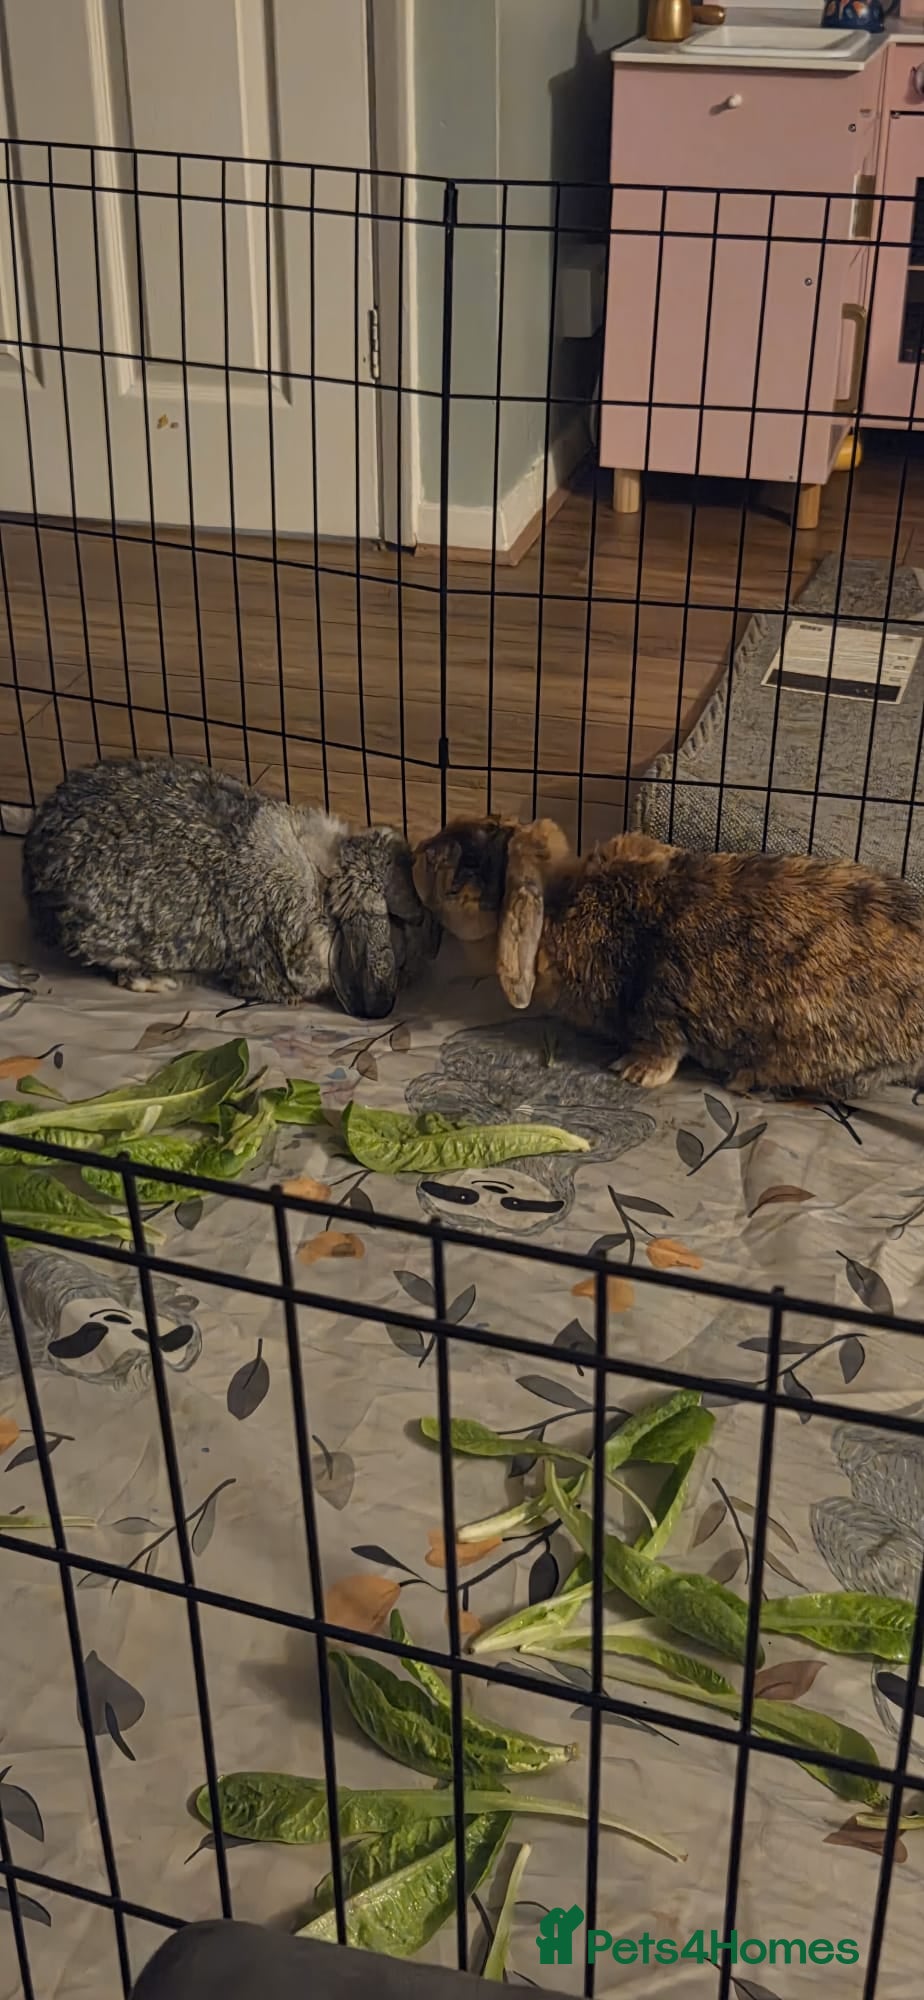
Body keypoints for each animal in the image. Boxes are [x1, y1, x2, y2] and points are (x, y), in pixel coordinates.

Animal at [413, 814, 924, 1098]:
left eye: (467, 870)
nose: (418, 851)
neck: (563, 905)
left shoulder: (658, 1006)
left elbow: (663, 1043)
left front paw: (633, 1073)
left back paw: (744, 1077)